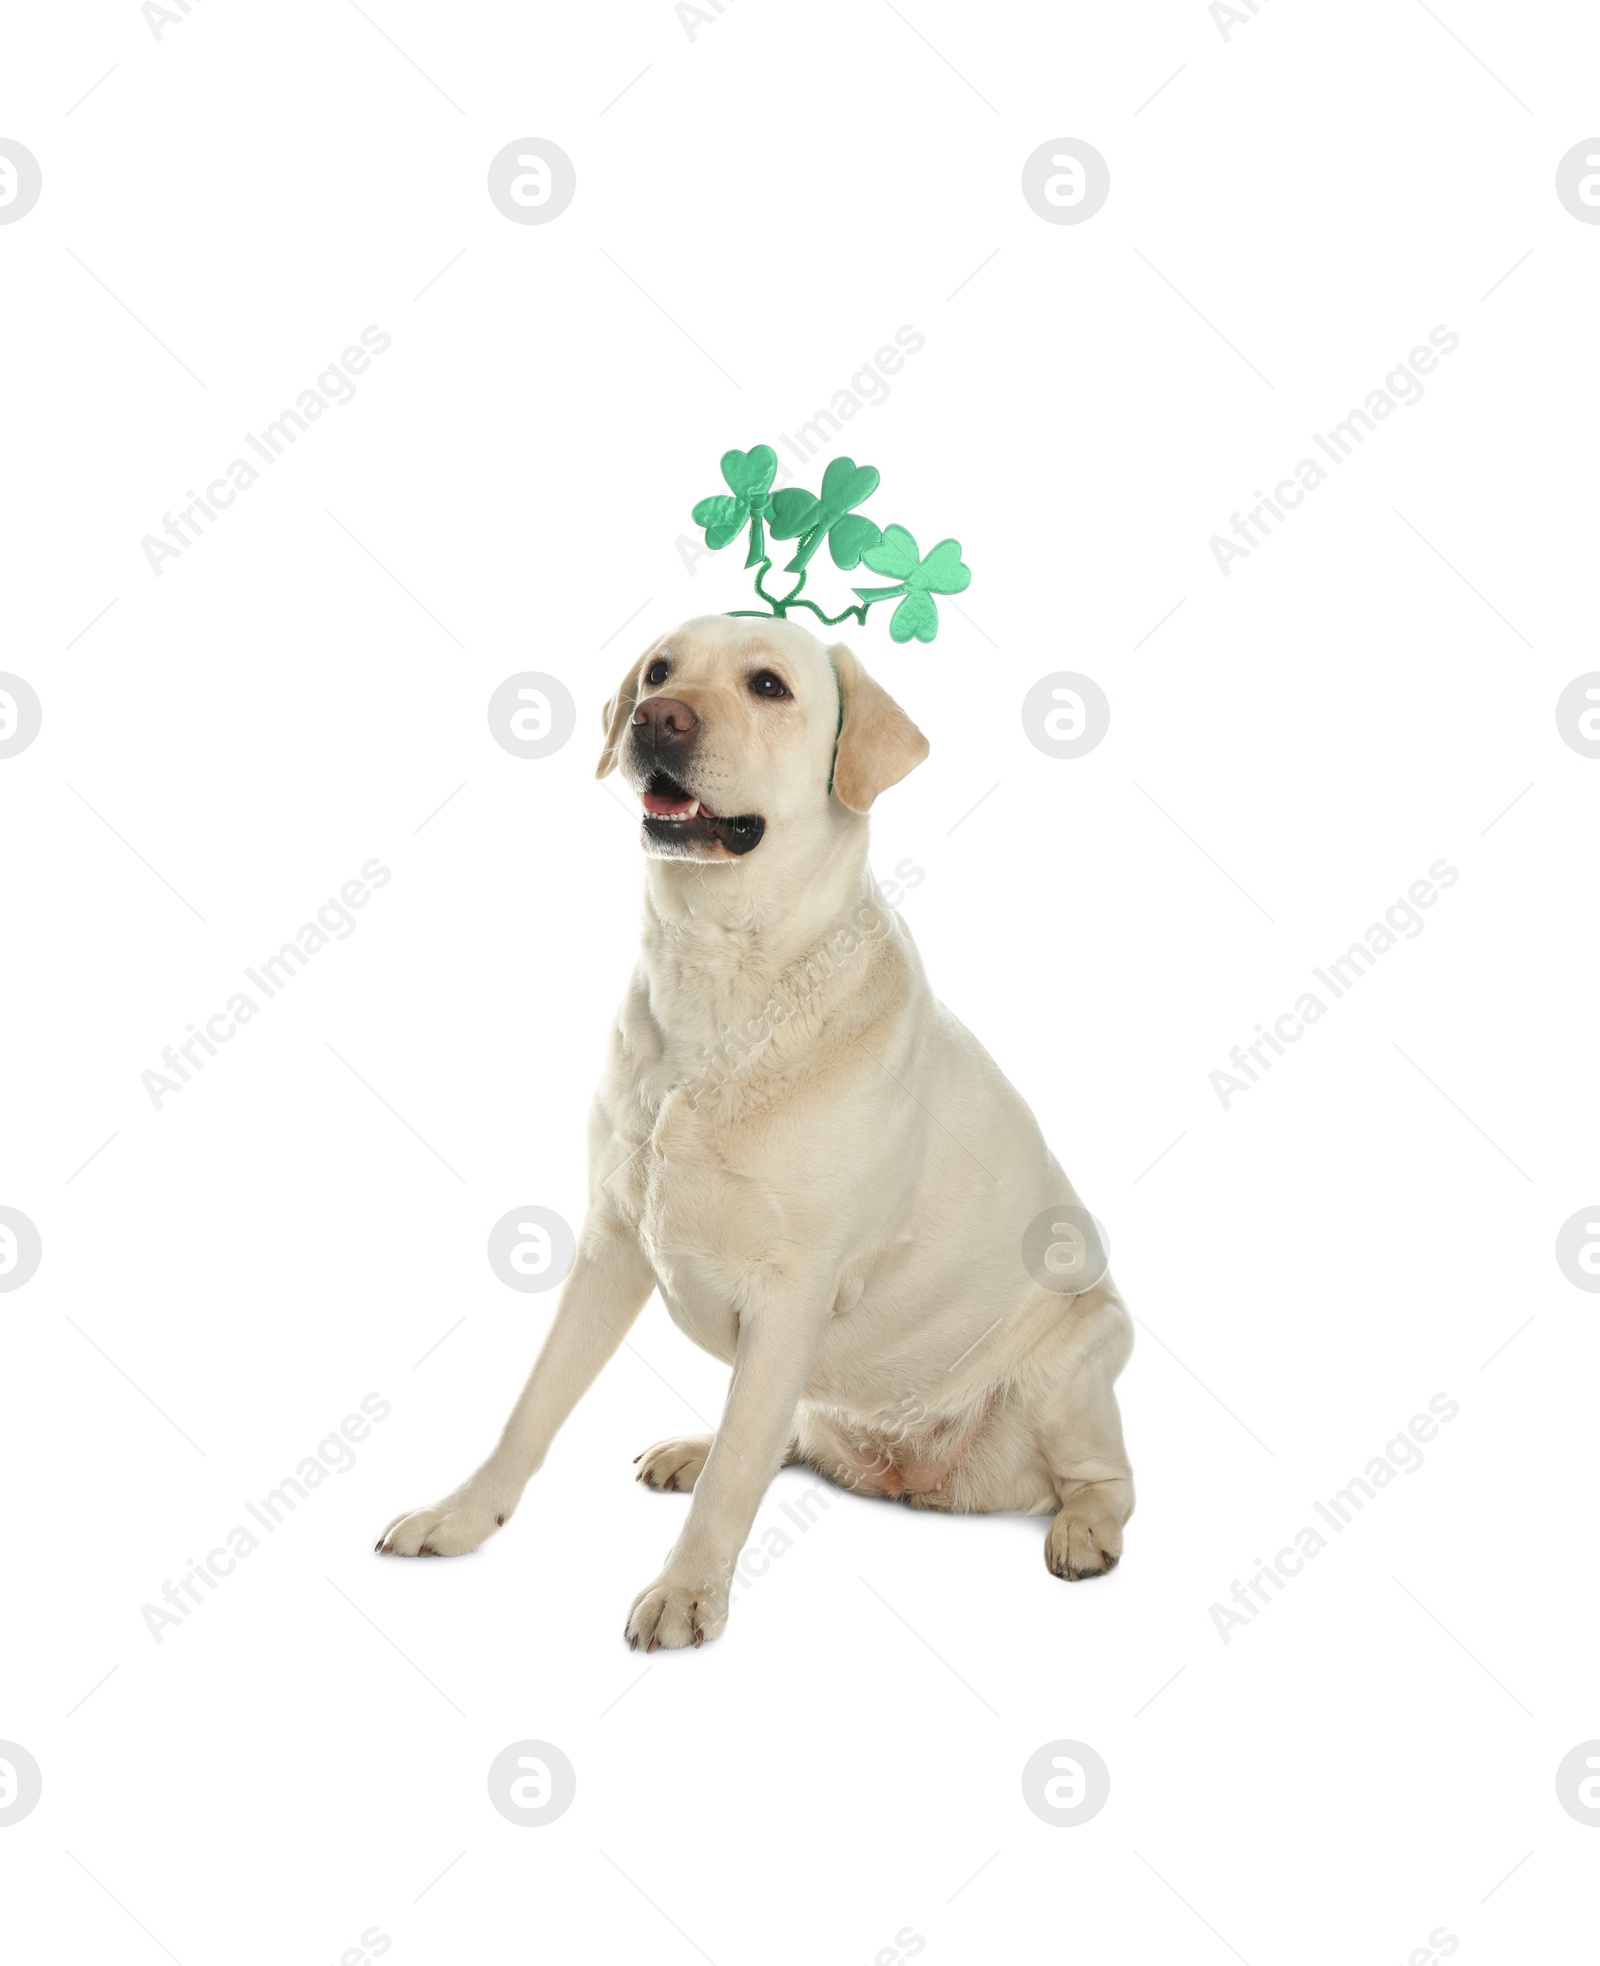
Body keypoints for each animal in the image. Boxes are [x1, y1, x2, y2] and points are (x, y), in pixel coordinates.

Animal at [381, 613, 1132, 1643]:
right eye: (659, 670)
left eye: (769, 686)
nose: (656, 718)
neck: (718, 975)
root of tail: (915, 1479)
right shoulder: (610, 1245)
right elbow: (532, 1409)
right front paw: (460, 1516)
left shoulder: (793, 1290)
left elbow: (739, 1471)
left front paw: (686, 1592)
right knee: (782, 1435)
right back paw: (694, 1447)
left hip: (1077, 1361)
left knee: (1107, 1478)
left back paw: (1083, 1531)